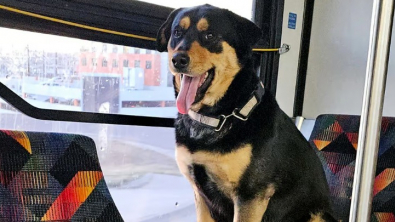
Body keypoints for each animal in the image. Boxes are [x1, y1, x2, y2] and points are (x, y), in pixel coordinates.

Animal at [158, 4, 338, 221]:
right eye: (177, 33)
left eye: (210, 35)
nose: (178, 59)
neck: (218, 116)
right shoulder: (201, 196)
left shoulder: (250, 196)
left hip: (318, 215)